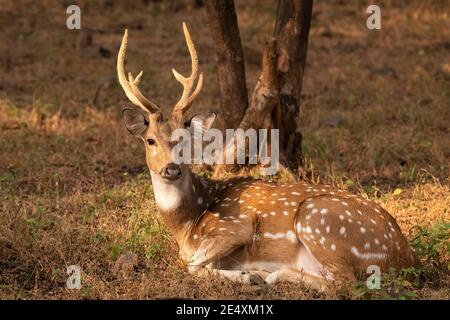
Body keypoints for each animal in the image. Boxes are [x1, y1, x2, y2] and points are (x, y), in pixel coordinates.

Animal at [116, 23, 418, 292]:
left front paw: (248, 275)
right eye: (150, 140)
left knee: (345, 283)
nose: (171, 169)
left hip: (318, 220)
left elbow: (191, 265)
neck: (187, 224)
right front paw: (247, 273)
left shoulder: (235, 226)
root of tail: (405, 258)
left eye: (184, 139)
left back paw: (271, 275)